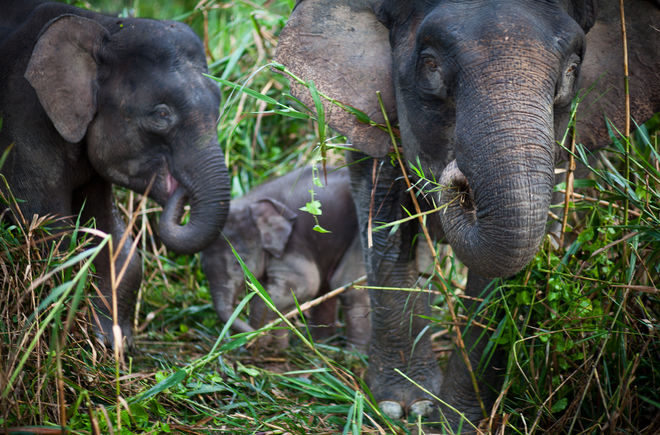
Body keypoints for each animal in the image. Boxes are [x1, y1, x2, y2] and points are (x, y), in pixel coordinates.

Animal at [0, 0, 231, 348]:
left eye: (218, 108)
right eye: (161, 114)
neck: (104, 27)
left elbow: (110, 239)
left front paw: (110, 343)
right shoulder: (22, 123)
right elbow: (47, 235)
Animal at [201, 167, 368, 350]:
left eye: (240, 261)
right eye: (202, 267)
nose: (247, 342)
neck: (252, 199)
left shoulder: (294, 243)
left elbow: (304, 284)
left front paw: (264, 345)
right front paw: (279, 348)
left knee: (348, 285)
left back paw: (353, 353)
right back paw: (322, 344)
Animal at [276, 0, 656, 430]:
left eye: (573, 70)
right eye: (430, 64)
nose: (458, 180)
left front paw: (456, 422)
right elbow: (384, 209)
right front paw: (405, 407)